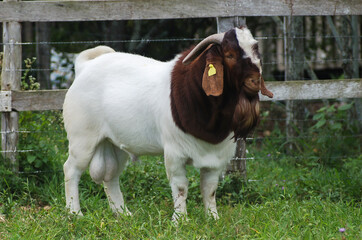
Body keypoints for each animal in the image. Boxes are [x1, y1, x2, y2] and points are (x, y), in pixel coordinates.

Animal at [63, 25, 272, 221]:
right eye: (229, 54)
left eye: (257, 51)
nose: (255, 82)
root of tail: (84, 67)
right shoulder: (175, 152)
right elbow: (181, 187)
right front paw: (180, 220)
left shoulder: (217, 156)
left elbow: (210, 188)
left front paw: (213, 218)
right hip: (82, 139)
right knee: (71, 169)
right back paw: (74, 213)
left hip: (114, 143)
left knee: (111, 175)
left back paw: (123, 214)